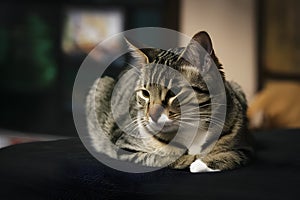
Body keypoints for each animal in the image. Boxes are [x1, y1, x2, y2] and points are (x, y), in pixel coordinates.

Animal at [86, 30, 253, 172]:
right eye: (145, 93)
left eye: (173, 92)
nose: (152, 116)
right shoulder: (125, 147)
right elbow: (161, 157)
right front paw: (191, 159)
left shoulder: (246, 146)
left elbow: (235, 154)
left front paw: (204, 161)